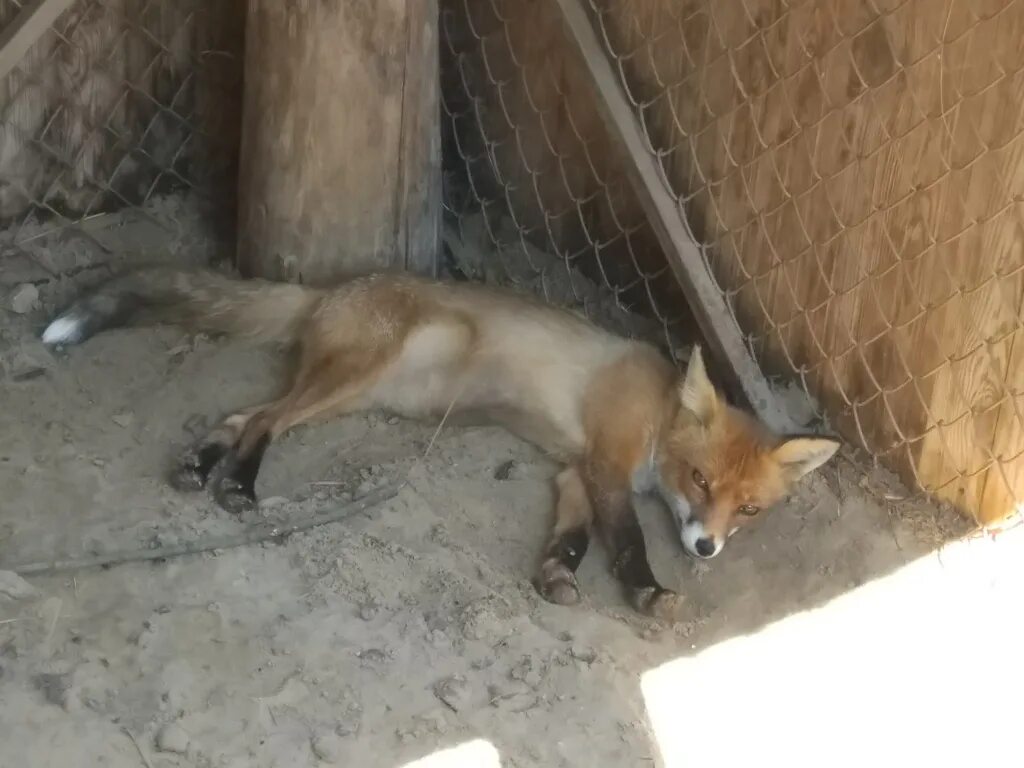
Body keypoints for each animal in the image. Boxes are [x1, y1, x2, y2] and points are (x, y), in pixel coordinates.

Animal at [44, 268, 835, 622]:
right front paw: (646, 589)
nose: (707, 548)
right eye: (700, 481)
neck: (658, 414)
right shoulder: (607, 461)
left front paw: (555, 574)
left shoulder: (574, 471)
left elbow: (573, 535)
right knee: (267, 419)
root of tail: (327, 289)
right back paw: (238, 483)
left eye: (750, 510)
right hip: (356, 377)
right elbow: (627, 537)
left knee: (243, 413)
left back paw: (202, 464)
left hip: (351, 393)